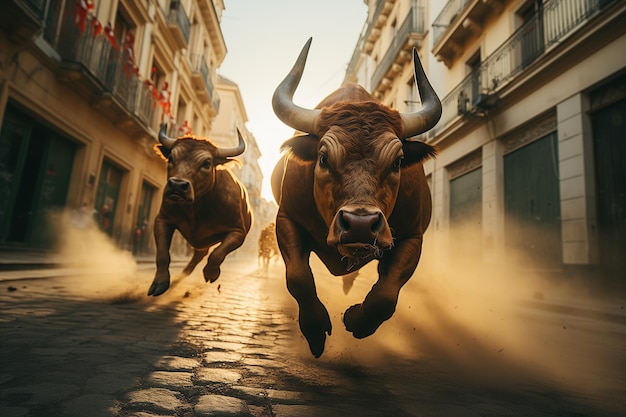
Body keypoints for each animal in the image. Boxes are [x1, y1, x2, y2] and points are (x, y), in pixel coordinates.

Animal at [146, 123, 251, 296]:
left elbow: (217, 254)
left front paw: (211, 273)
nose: (177, 186)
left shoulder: (238, 232)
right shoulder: (162, 220)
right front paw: (159, 282)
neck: (196, 209)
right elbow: (162, 254)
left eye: (207, 163)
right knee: (198, 255)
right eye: (171, 158)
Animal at [270, 39, 442, 356]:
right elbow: (299, 278)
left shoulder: (413, 237)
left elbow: (386, 295)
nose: (360, 224)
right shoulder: (287, 220)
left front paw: (356, 320)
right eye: (323, 158)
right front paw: (315, 331)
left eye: (398, 161)